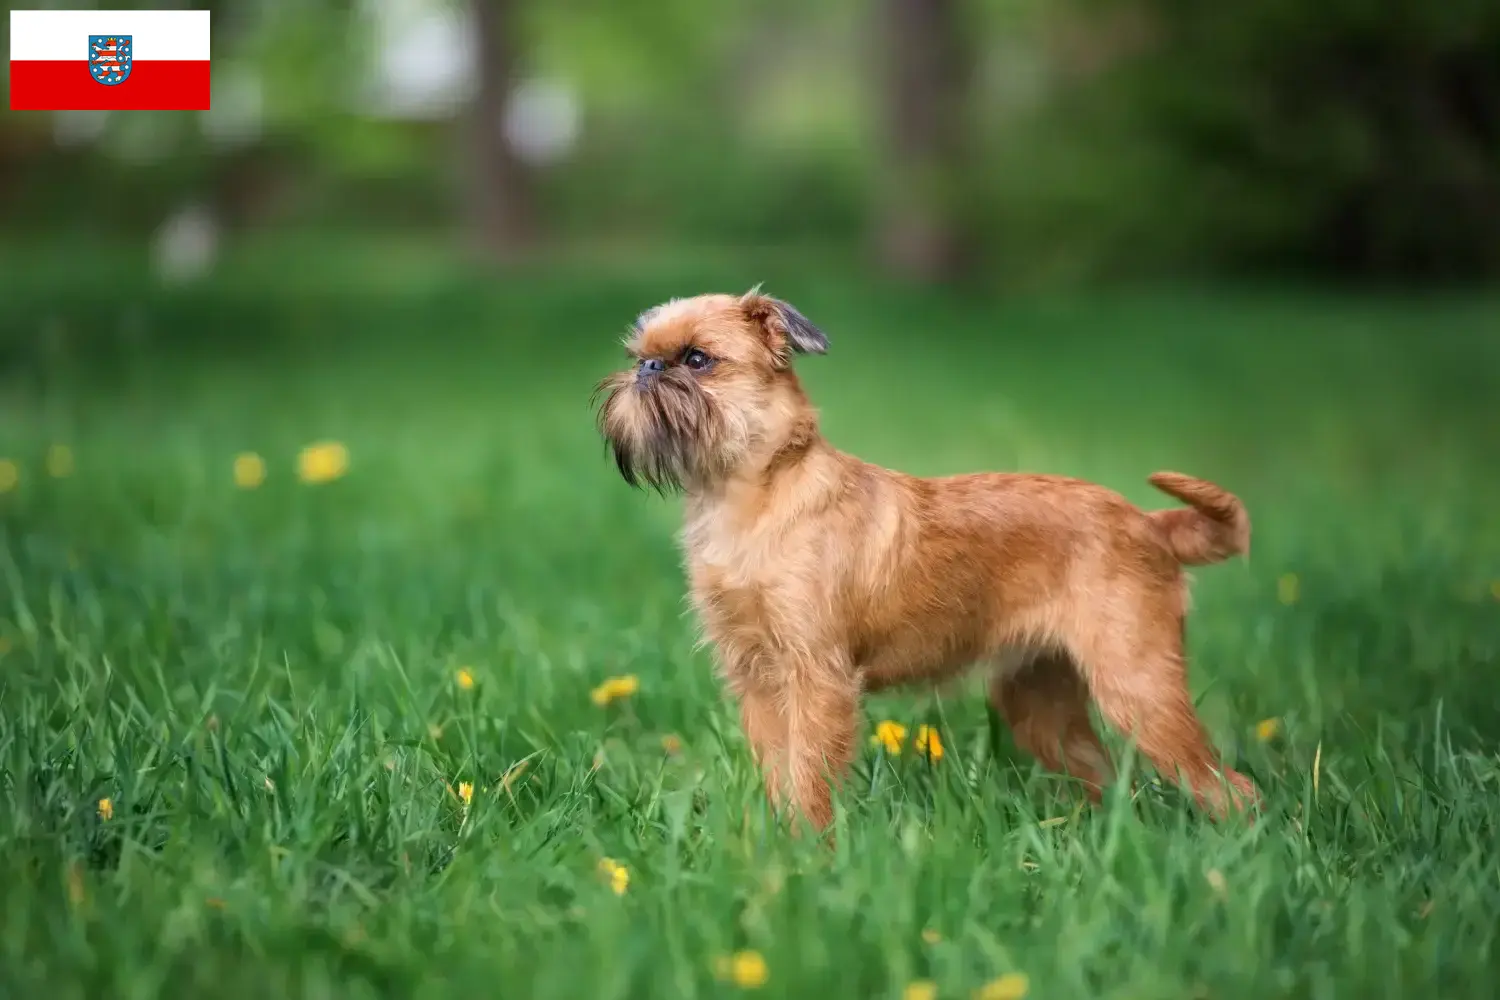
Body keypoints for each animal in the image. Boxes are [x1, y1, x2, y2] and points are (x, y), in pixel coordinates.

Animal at [591, 289, 1260, 827]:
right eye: (638, 354)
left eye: (697, 360)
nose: (648, 368)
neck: (754, 493)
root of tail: (1148, 523)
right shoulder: (757, 677)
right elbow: (780, 770)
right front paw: (776, 846)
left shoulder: (816, 677)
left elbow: (808, 773)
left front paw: (809, 854)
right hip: (1038, 699)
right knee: (1104, 776)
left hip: (1137, 685)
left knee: (1230, 788)